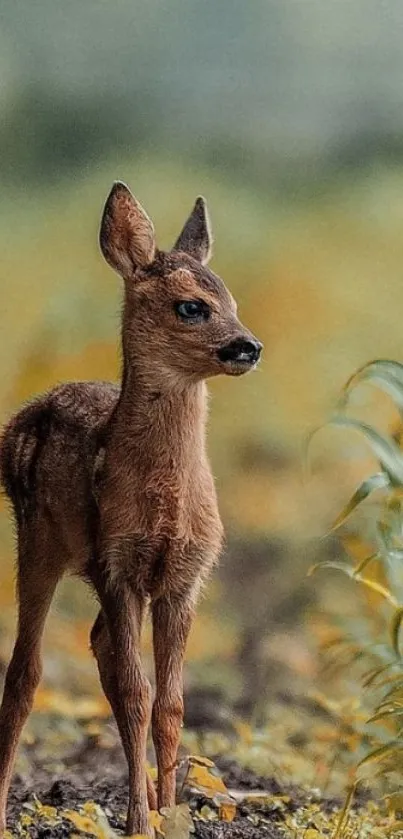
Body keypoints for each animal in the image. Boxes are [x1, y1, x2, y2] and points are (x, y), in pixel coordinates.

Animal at [0, 184, 262, 832]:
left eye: (232, 300)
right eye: (191, 307)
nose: (249, 346)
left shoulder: (184, 577)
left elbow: (171, 703)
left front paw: (171, 815)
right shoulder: (118, 564)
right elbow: (136, 693)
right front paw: (142, 824)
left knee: (96, 649)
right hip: (37, 543)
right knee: (25, 673)